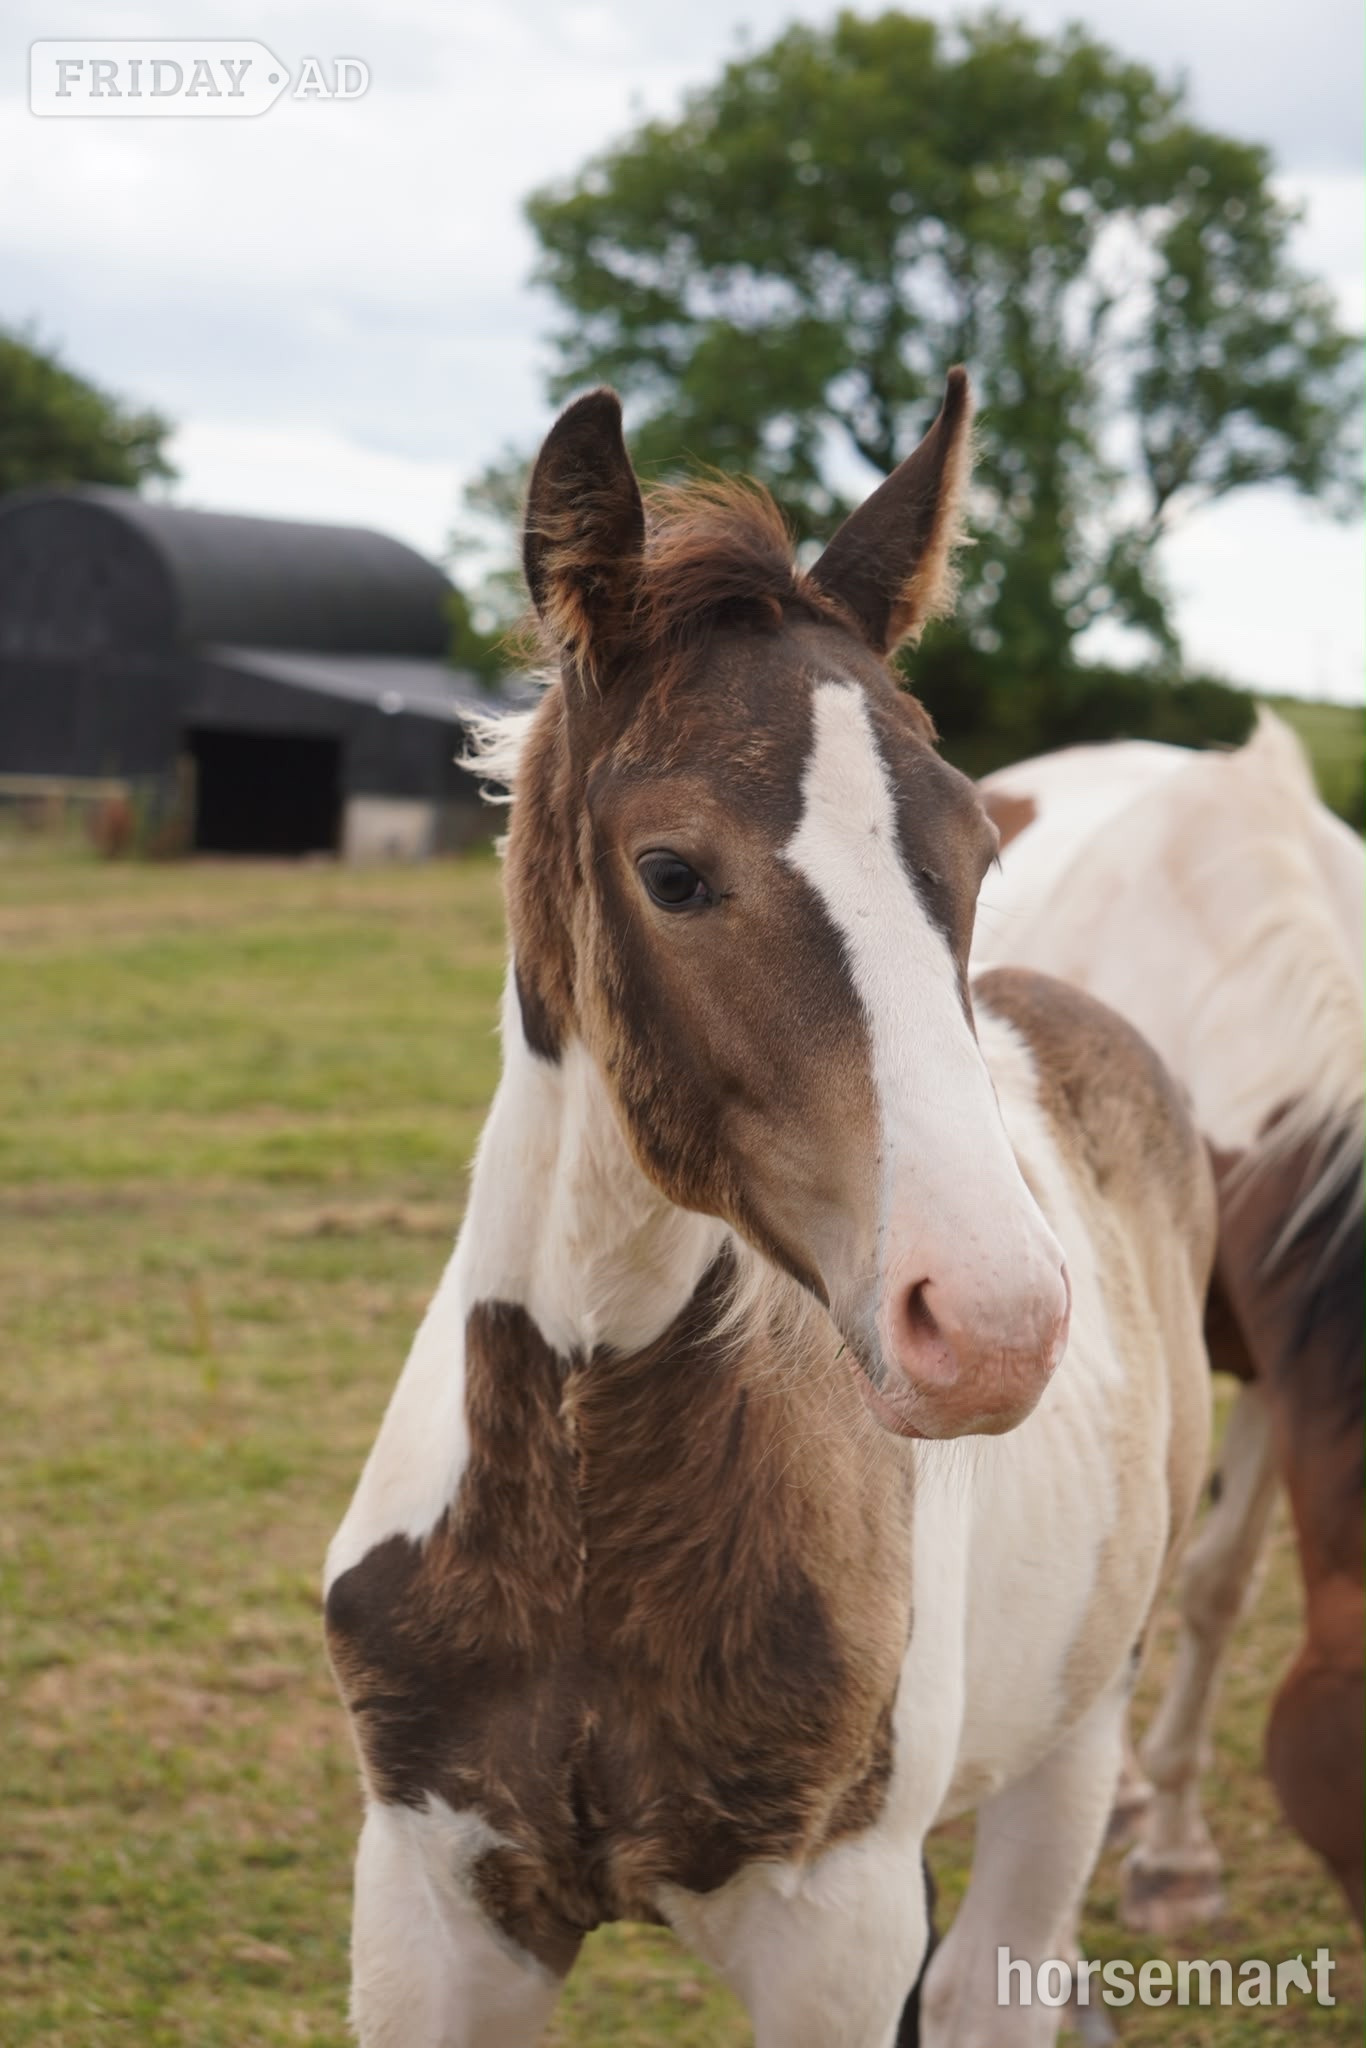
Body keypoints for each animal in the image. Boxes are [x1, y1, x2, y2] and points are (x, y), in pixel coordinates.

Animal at [323, 372, 1215, 2048]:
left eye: (977, 851)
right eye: (671, 872)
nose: (994, 1326)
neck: (585, 1520)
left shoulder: (832, 1929)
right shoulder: (434, 1899)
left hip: (1076, 1740)